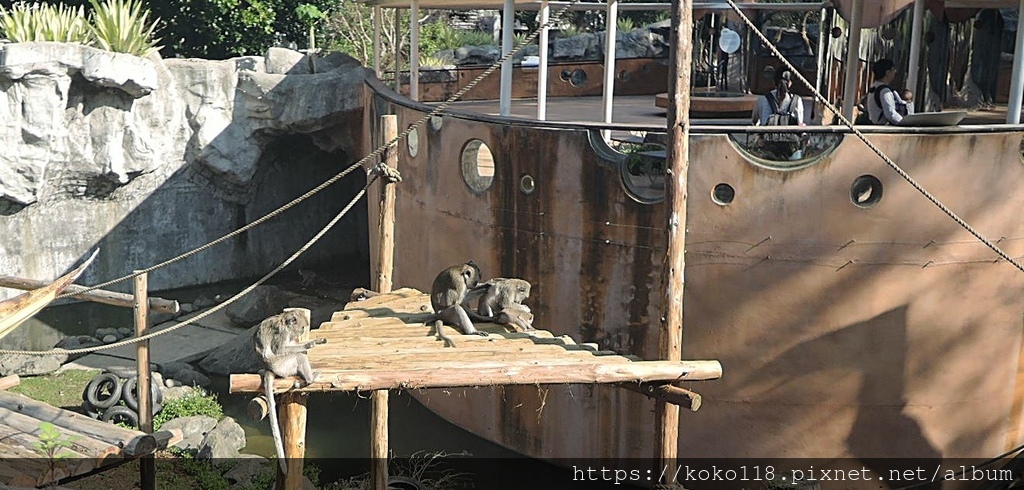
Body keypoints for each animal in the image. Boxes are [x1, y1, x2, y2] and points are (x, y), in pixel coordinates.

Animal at [250, 310, 323, 474]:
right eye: (301, 328)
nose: (301, 332)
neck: (283, 321)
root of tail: (270, 368)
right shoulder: (282, 333)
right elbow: (280, 349)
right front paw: (308, 345)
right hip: (283, 366)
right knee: (298, 356)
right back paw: (310, 379)